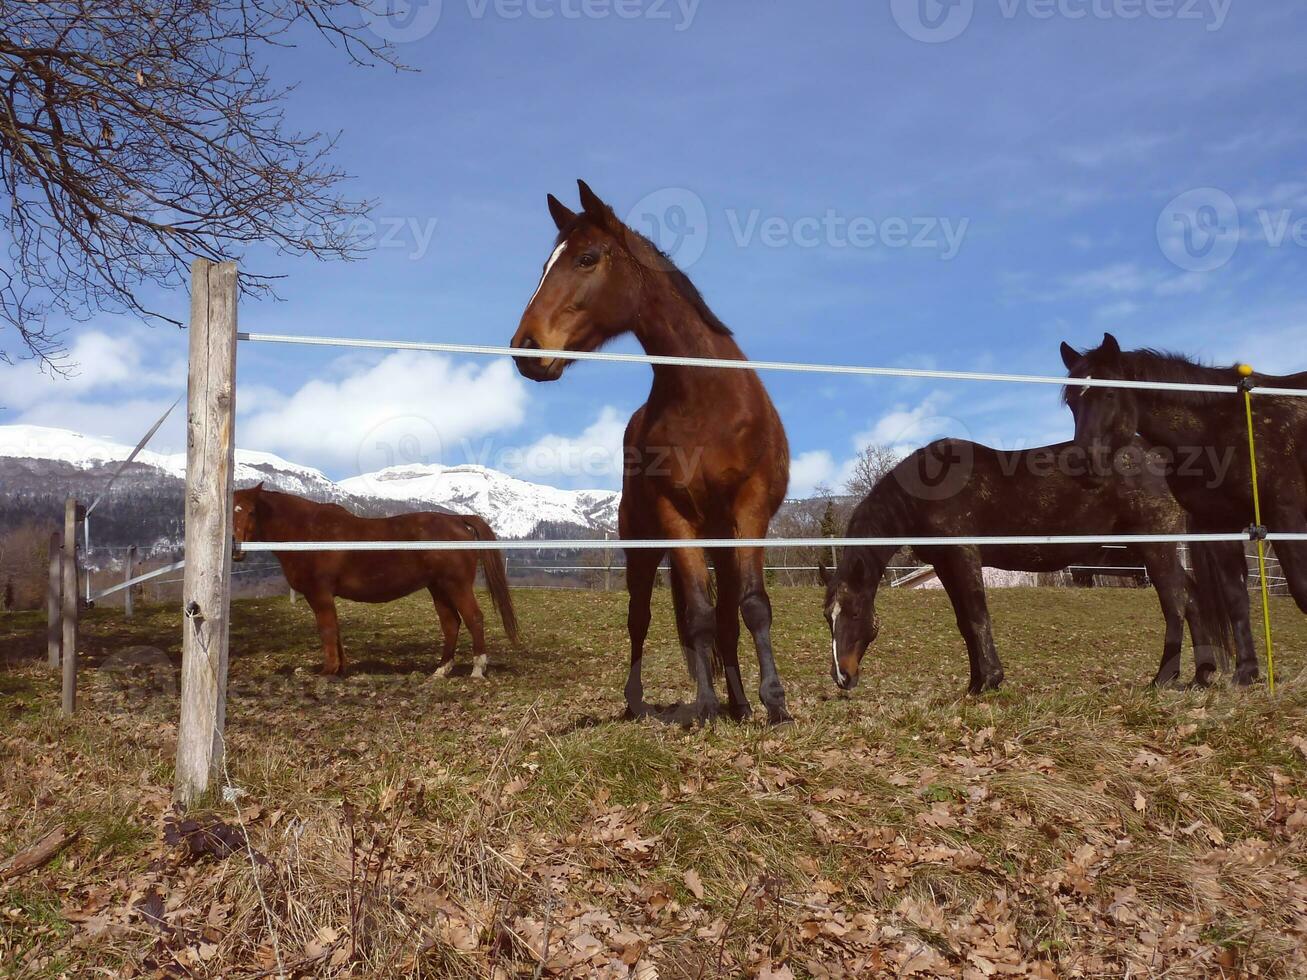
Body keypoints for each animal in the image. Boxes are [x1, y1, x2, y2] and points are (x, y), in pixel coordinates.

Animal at [232, 486, 517, 684]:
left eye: (251, 511)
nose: (236, 549)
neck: (309, 533)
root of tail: (457, 520)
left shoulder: (319, 594)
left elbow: (327, 630)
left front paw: (327, 671)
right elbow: (335, 629)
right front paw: (340, 669)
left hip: (456, 585)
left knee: (474, 618)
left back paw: (477, 670)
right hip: (438, 588)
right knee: (451, 624)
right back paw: (440, 670)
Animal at [509, 180, 794, 726]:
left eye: (586, 258)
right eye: (542, 266)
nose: (525, 349)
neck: (708, 396)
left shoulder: (750, 509)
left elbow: (752, 606)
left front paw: (774, 704)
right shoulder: (675, 515)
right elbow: (699, 617)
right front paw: (706, 707)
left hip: (719, 538)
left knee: (728, 617)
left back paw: (740, 702)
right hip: (643, 548)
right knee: (640, 618)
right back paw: (639, 701)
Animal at [815, 436, 1223, 700]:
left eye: (854, 612)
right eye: (826, 617)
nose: (842, 676)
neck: (926, 488)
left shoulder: (963, 556)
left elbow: (977, 616)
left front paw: (990, 682)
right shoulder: (946, 564)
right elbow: (965, 623)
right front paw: (974, 685)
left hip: (1156, 546)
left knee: (1175, 602)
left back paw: (1164, 679)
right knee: (1191, 597)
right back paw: (1202, 677)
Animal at [1061, 334, 1307, 684]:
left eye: (1109, 392)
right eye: (1071, 400)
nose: (1082, 464)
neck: (1219, 430)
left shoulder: (1285, 514)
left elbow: (1301, 588)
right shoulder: (1217, 524)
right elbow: (1236, 599)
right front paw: (1246, 673)